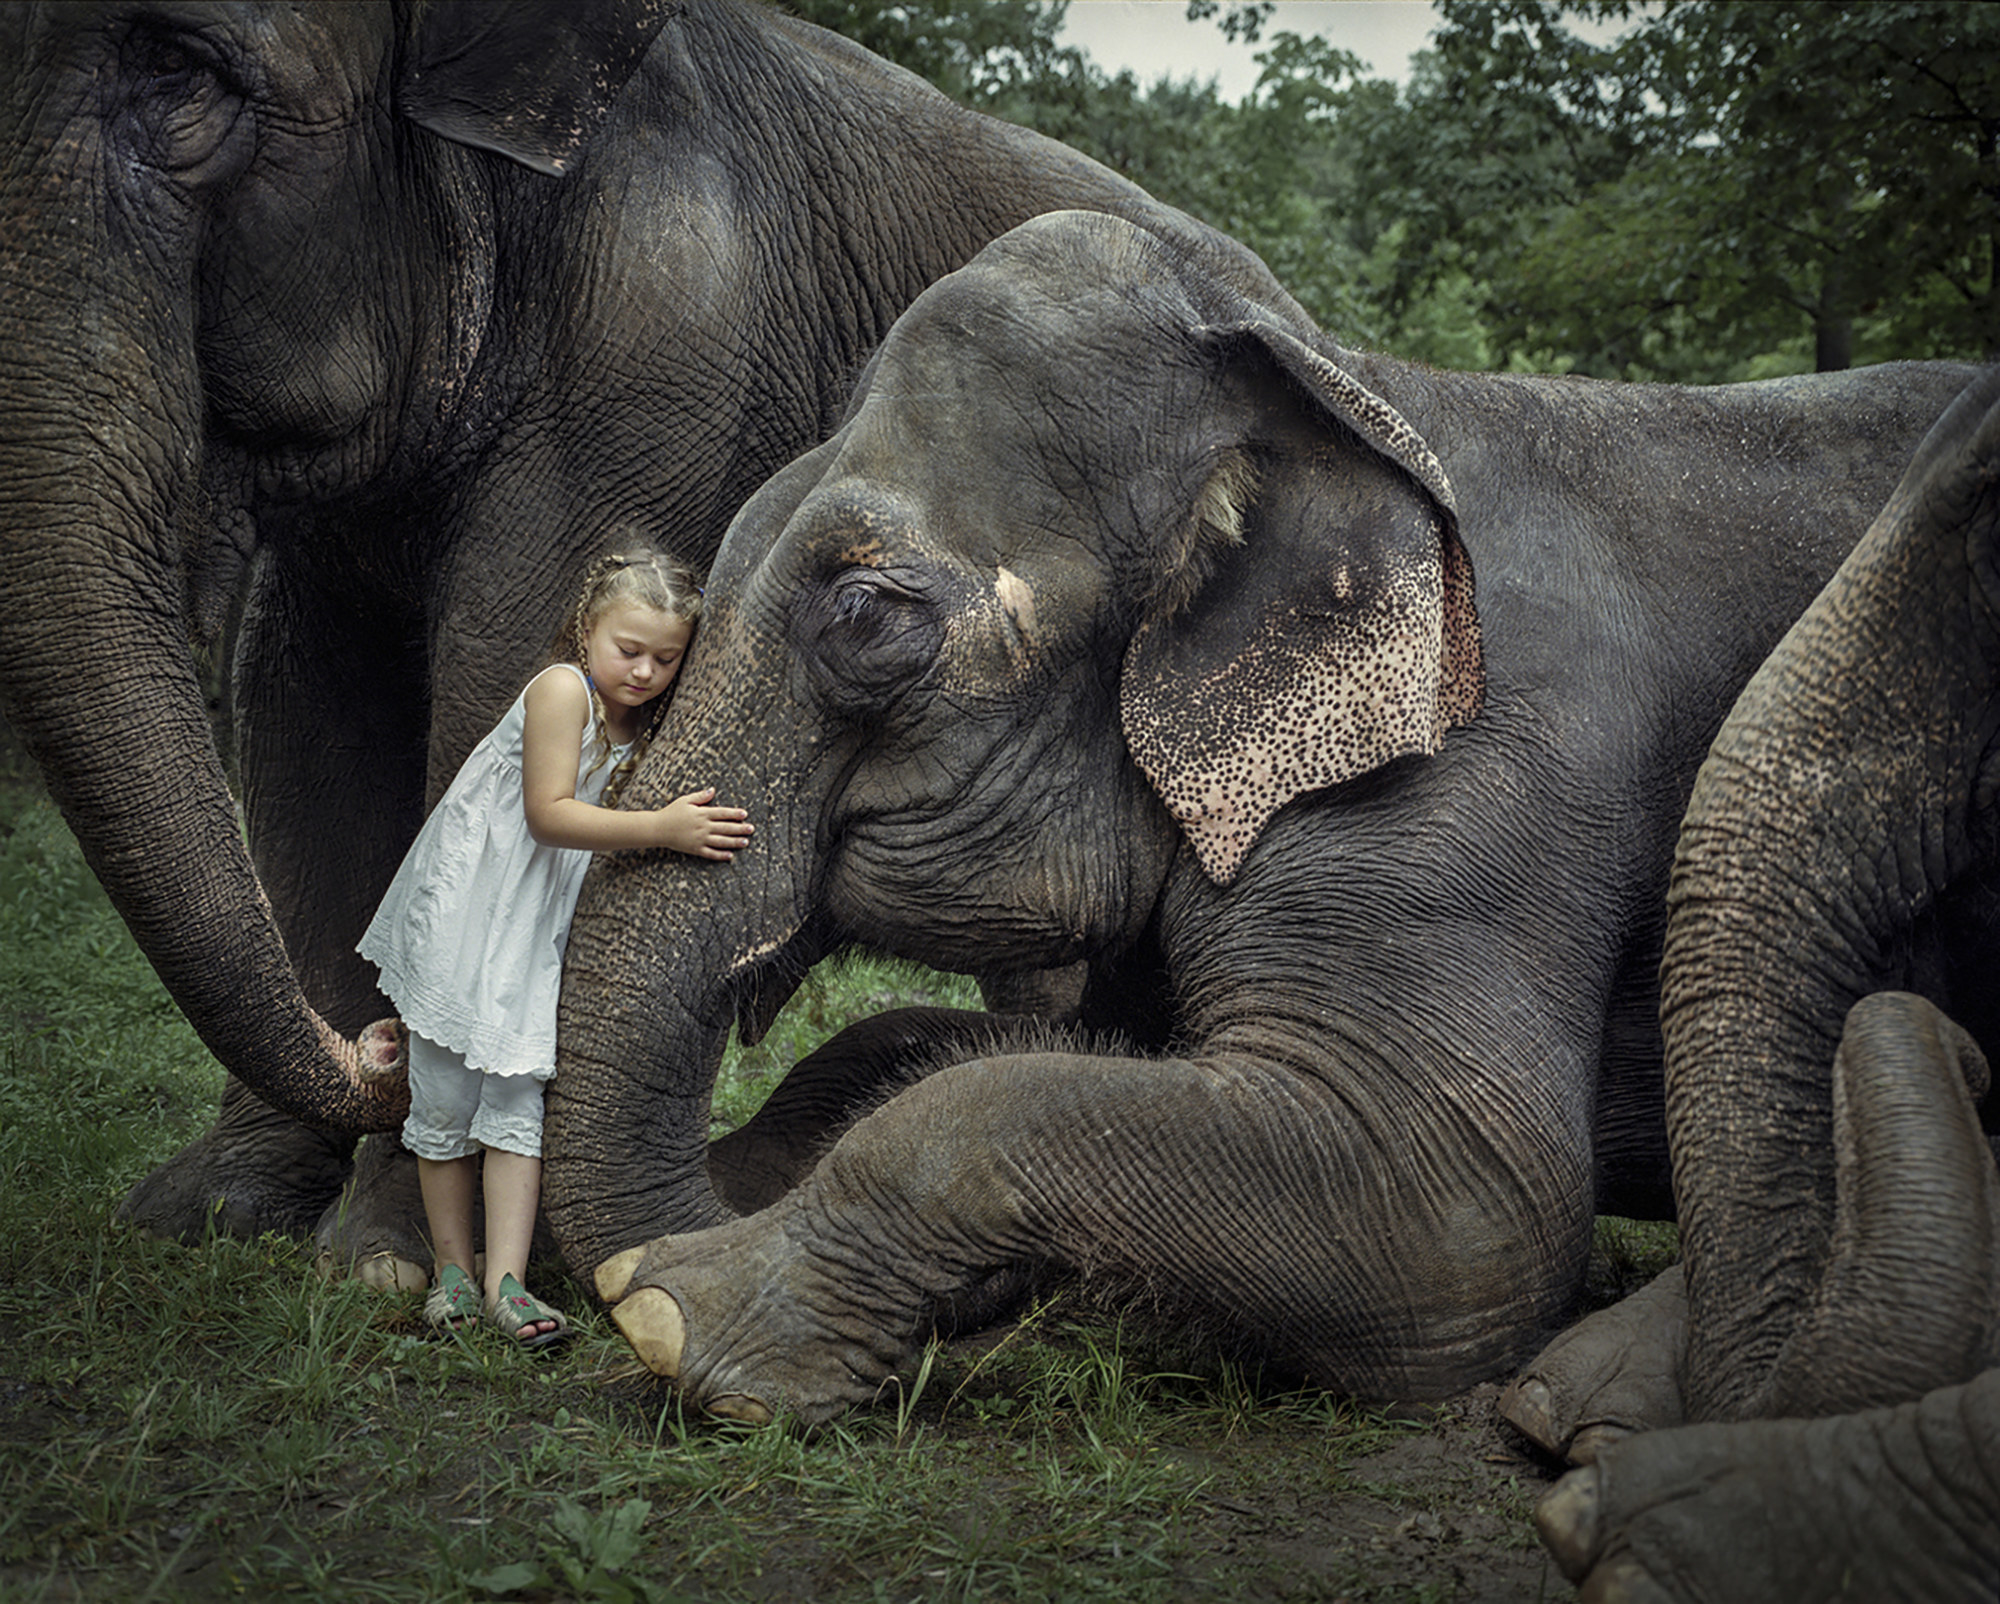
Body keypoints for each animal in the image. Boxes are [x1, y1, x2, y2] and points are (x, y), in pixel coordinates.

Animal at [0, 3, 1288, 1272]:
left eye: (182, 69)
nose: (373, 1049)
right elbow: (302, 708)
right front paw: (212, 1213)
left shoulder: (666, 345)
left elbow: (497, 670)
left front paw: (383, 1258)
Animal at [540, 206, 1976, 1416]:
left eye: (863, 614)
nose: (624, 1266)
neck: (1349, 386)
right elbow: (967, 1045)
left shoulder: (1472, 786)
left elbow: (1466, 1206)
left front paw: (678, 1306)